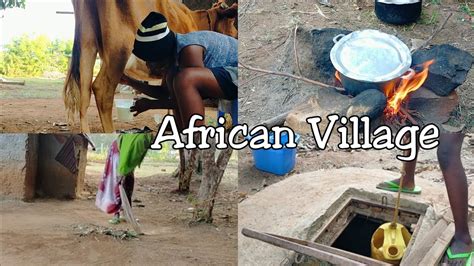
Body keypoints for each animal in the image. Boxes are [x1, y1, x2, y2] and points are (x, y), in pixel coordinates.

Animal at [63, 0, 239, 133]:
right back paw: (110, 134)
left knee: (84, 93)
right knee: (102, 89)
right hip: (119, 48)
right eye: (233, 27)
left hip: (87, 43)